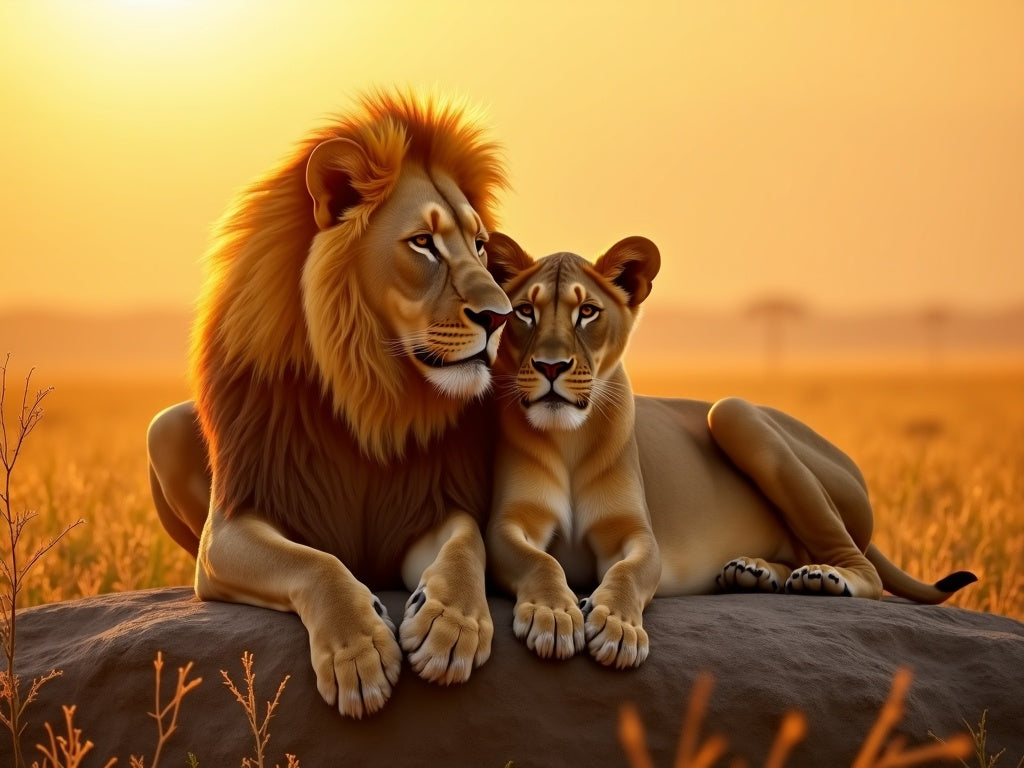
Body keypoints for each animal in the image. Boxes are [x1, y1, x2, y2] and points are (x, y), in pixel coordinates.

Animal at [146, 91, 514, 718]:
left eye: (480, 245)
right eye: (423, 243)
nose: (501, 316)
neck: (373, 391)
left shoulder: (428, 504)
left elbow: (466, 546)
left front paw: (452, 625)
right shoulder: (228, 530)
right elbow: (314, 563)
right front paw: (358, 652)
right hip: (162, 428)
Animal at [483, 233, 977, 670]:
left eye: (587, 312)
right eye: (525, 311)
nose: (550, 367)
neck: (571, 437)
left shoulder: (636, 534)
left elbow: (627, 573)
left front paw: (617, 627)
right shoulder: (510, 525)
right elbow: (540, 560)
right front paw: (553, 613)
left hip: (734, 413)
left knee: (862, 568)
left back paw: (822, 578)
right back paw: (753, 571)